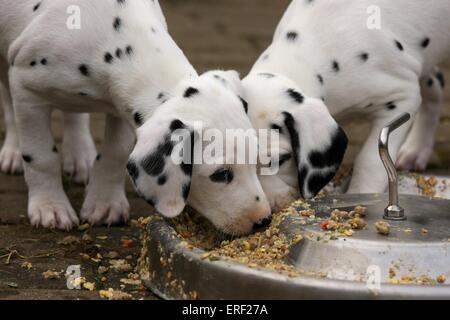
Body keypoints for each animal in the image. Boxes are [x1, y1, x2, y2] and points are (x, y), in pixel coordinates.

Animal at [0, 0, 270, 235]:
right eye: (221, 174)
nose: (264, 221)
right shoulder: (26, 90)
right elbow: (41, 157)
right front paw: (50, 206)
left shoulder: (120, 104)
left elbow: (115, 153)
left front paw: (105, 202)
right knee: (9, 106)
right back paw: (13, 152)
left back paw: (80, 155)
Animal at [243, 0, 450, 210]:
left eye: (279, 160)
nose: (265, 212)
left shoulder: (402, 97)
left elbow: (370, 160)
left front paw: (362, 193)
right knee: (435, 83)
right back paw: (416, 151)